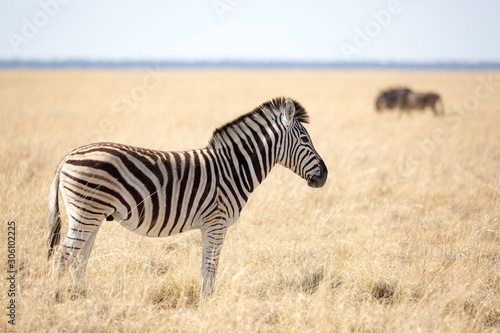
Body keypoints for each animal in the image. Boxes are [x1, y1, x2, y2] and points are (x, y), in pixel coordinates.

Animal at [47, 96, 328, 296]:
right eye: (305, 139)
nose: (324, 175)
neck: (233, 168)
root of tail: (67, 156)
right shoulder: (216, 222)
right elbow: (211, 266)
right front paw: (208, 302)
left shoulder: (210, 225)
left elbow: (206, 265)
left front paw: (205, 299)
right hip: (86, 213)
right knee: (63, 257)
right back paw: (56, 297)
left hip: (91, 216)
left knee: (79, 259)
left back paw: (79, 296)